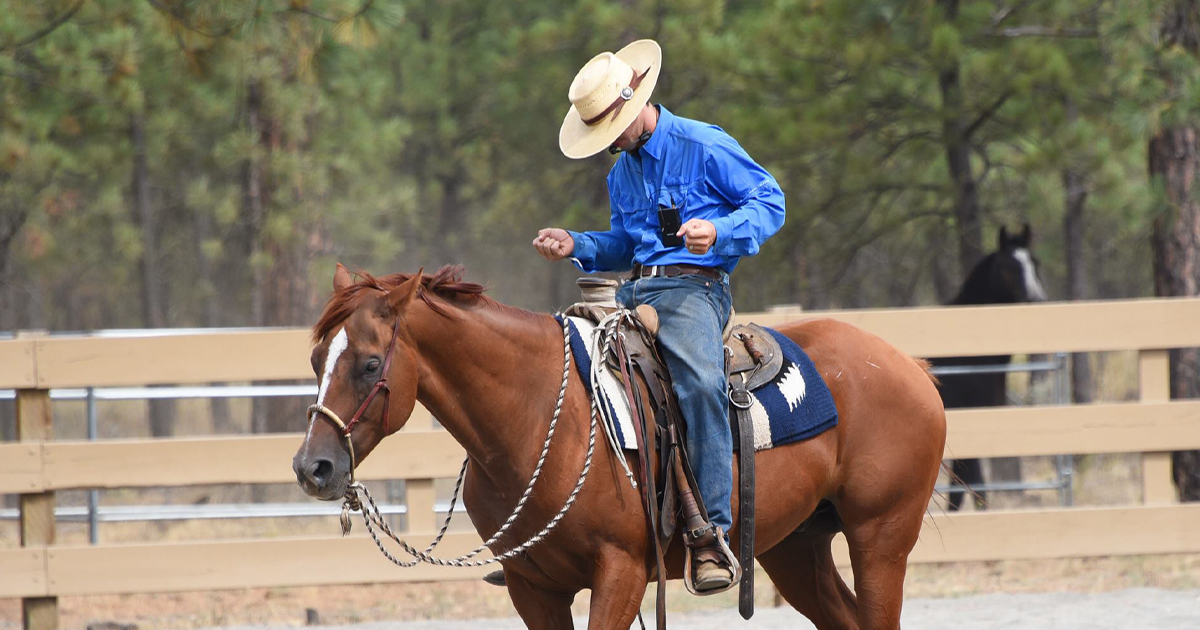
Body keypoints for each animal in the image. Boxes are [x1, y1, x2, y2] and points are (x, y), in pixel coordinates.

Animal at [292, 263, 946, 630]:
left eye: (369, 363)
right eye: (317, 358)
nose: (312, 467)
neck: (535, 418)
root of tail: (906, 365)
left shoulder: (622, 573)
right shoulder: (534, 588)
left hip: (880, 538)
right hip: (796, 547)